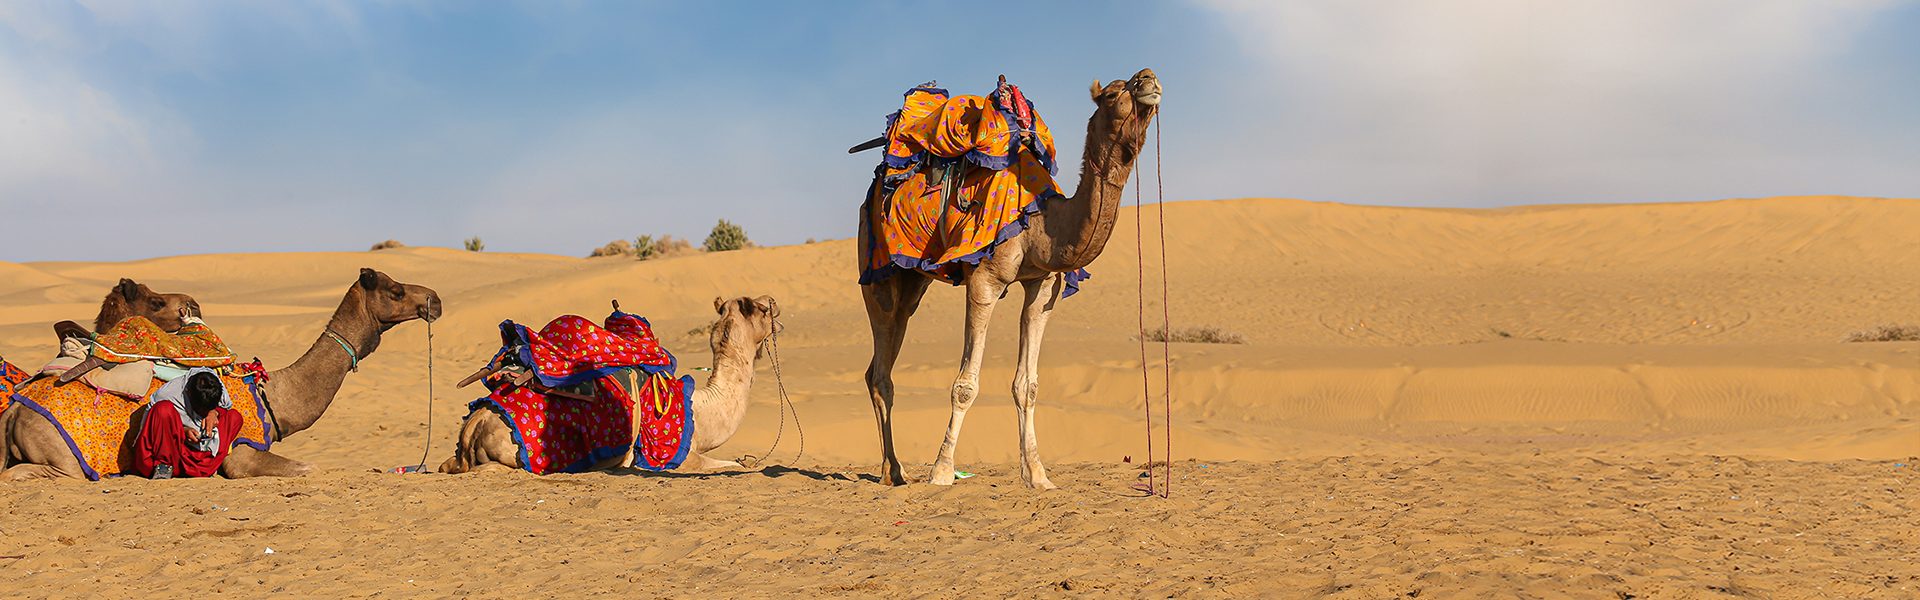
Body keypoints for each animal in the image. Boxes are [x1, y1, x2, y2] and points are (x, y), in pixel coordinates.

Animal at [439, 296, 779, 473]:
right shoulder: (676, 456)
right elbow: (735, 465)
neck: (704, 410)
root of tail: (476, 422)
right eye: (760, 308)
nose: (773, 302)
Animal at [864, 67, 1159, 488]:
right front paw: (942, 471)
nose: (1149, 78)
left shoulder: (1043, 286)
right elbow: (965, 385)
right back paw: (894, 471)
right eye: (1112, 93)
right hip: (876, 268)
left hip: (913, 283)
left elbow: (1027, 385)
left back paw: (893, 470)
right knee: (882, 368)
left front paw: (1037, 475)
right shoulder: (984, 281)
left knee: (882, 359)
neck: (1042, 225)